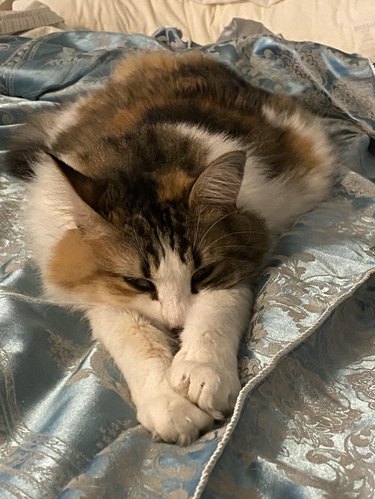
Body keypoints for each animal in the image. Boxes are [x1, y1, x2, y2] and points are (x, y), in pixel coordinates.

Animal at [5, 50, 334, 446]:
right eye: (139, 283)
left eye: (201, 273)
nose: (176, 324)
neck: (146, 160)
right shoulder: (102, 298)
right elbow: (137, 341)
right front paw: (170, 404)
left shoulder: (237, 265)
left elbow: (216, 311)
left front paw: (202, 371)